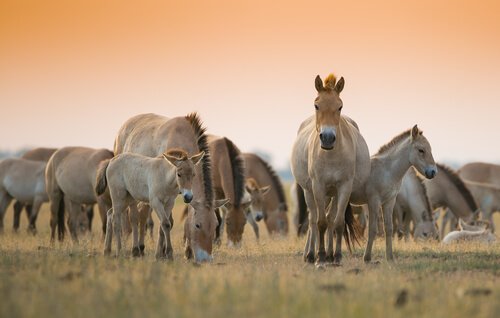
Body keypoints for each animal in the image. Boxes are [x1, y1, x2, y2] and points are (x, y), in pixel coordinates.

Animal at [115, 113, 221, 262]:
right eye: (198, 225)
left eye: (215, 225)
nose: (205, 259)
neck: (183, 138)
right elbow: (167, 221)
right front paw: (163, 253)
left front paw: (183, 252)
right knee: (134, 217)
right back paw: (136, 249)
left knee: (142, 215)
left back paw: (141, 248)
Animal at [292, 73, 370, 264]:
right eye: (316, 105)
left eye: (340, 106)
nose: (327, 138)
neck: (331, 156)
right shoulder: (318, 186)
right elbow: (320, 222)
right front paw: (319, 256)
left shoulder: (344, 187)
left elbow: (337, 222)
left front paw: (336, 256)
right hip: (309, 191)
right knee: (313, 219)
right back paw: (310, 254)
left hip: (332, 194)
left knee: (330, 218)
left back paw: (328, 254)